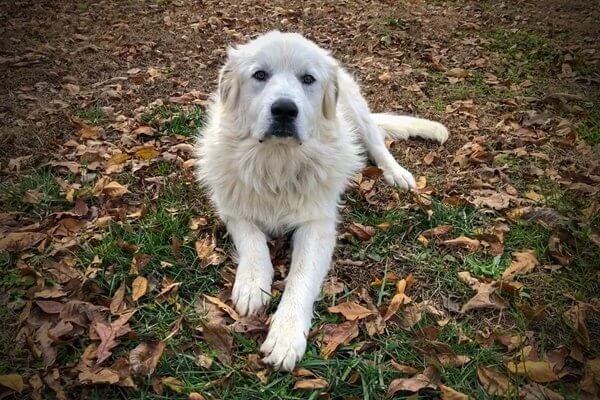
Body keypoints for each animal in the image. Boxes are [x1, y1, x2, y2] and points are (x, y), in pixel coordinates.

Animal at [197, 29, 450, 370]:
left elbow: (301, 279)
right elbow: (252, 241)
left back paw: (396, 173)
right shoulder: (233, 208)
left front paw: (286, 335)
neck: (277, 162)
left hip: (357, 112)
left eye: (308, 79)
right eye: (260, 75)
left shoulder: (316, 226)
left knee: (377, 145)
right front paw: (252, 283)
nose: (285, 109)